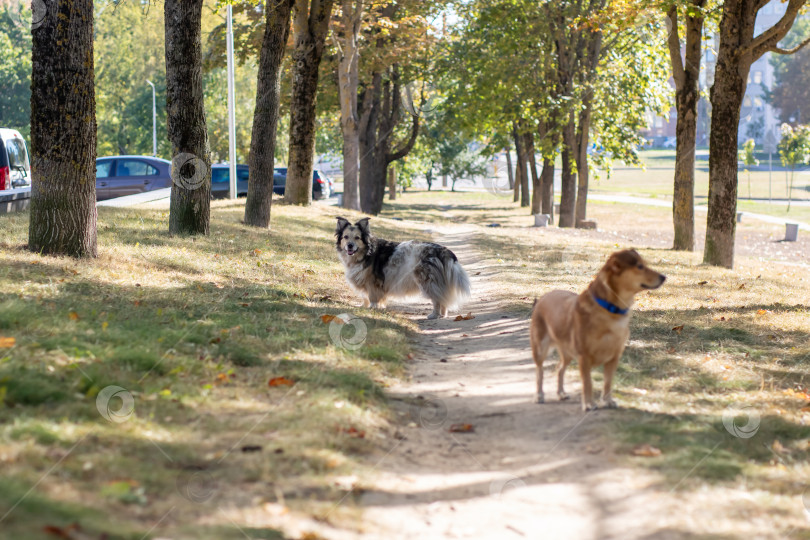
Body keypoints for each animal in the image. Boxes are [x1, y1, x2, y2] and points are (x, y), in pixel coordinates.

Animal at [334, 217, 470, 320]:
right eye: (345, 237)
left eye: (357, 237)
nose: (350, 246)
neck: (366, 252)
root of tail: (443, 250)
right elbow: (364, 296)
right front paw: (364, 306)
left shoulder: (372, 282)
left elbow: (372, 297)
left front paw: (373, 308)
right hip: (438, 282)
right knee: (443, 299)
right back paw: (443, 315)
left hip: (428, 281)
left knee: (437, 299)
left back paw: (434, 315)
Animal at [532, 251, 664, 412]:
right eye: (640, 266)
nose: (664, 277)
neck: (610, 311)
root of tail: (543, 297)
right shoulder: (584, 357)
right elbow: (587, 383)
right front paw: (589, 403)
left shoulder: (614, 357)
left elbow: (608, 382)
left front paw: (607, 400)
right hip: (540, 348)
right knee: (539, 371)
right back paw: (539, 395)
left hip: (567, 352)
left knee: (559, 368)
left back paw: (561, 393)